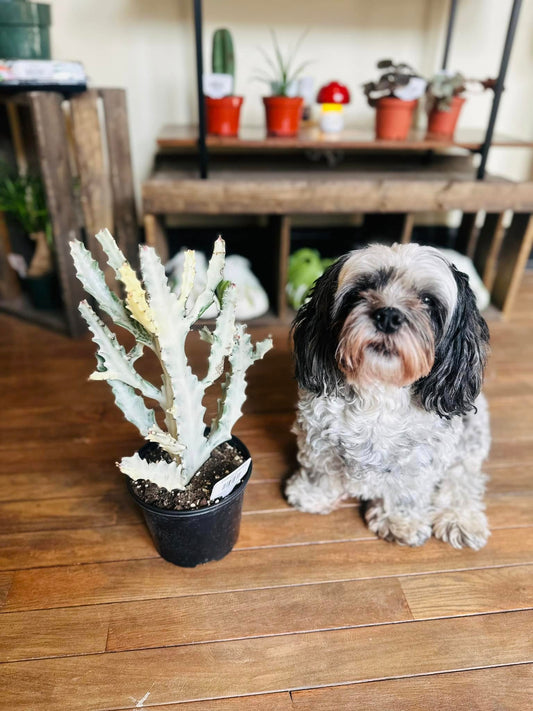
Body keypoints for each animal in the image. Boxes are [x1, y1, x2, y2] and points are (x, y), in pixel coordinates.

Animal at [284, 245, 488, 552]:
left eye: (427, 300)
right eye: (361, 290)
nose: (388, 316)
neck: (379, 389)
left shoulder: (420, 460)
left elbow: (408, 492)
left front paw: (400, 521)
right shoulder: (318, 436)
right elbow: (321, 469)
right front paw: (312, 494)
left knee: (462, 477)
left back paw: (460, 519)